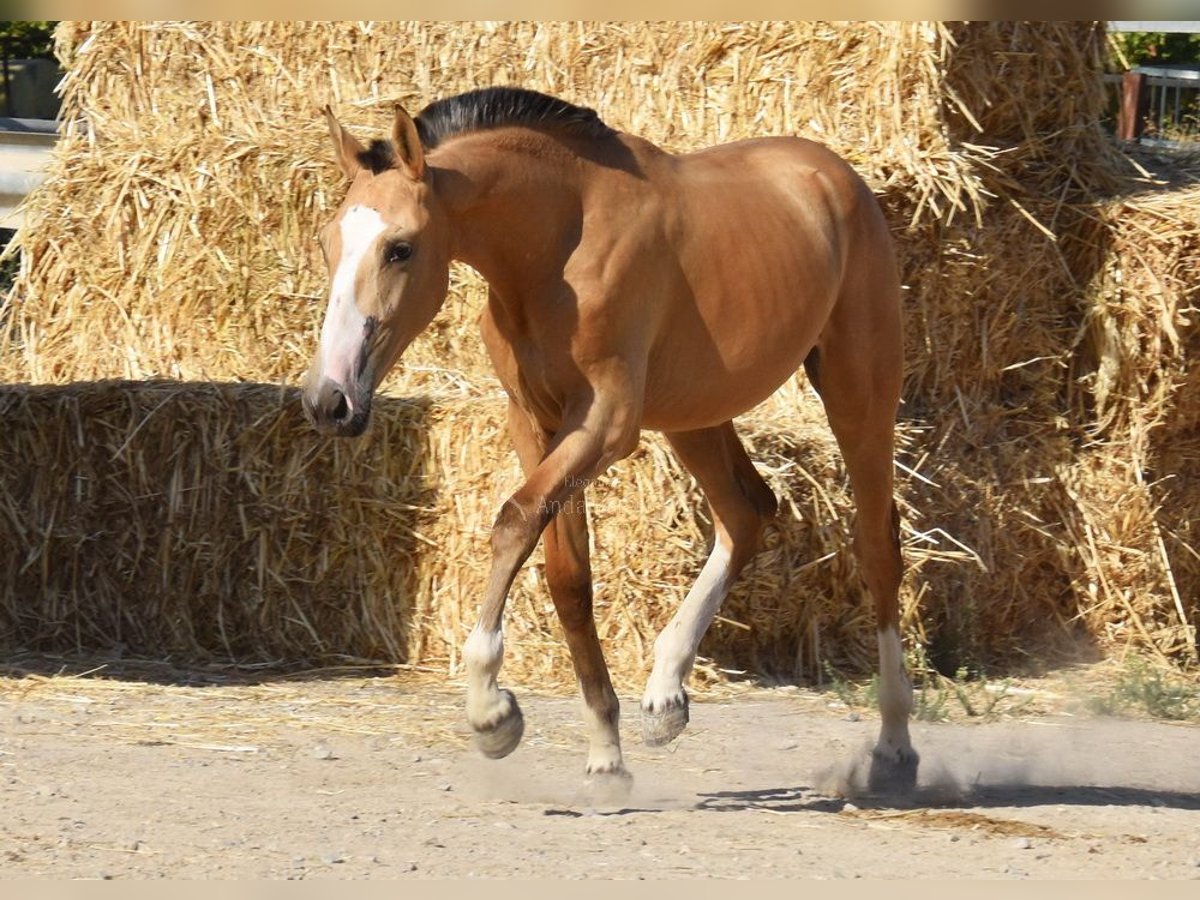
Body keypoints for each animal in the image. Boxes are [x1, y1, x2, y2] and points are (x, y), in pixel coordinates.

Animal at [300, 82, 916, 787]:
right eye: (327, 243)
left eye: (399, 248)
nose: (329, 400)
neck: (562, 241)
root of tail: (838, 177)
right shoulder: (535, 423)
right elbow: (567, 574)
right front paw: (605, 751)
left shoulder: (605, 425)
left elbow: (513, 522)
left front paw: (491, 713)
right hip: (694, 415)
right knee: (747, 511)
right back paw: (666, 696)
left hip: (857, 395)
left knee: (878, 546)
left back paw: (895, 744)